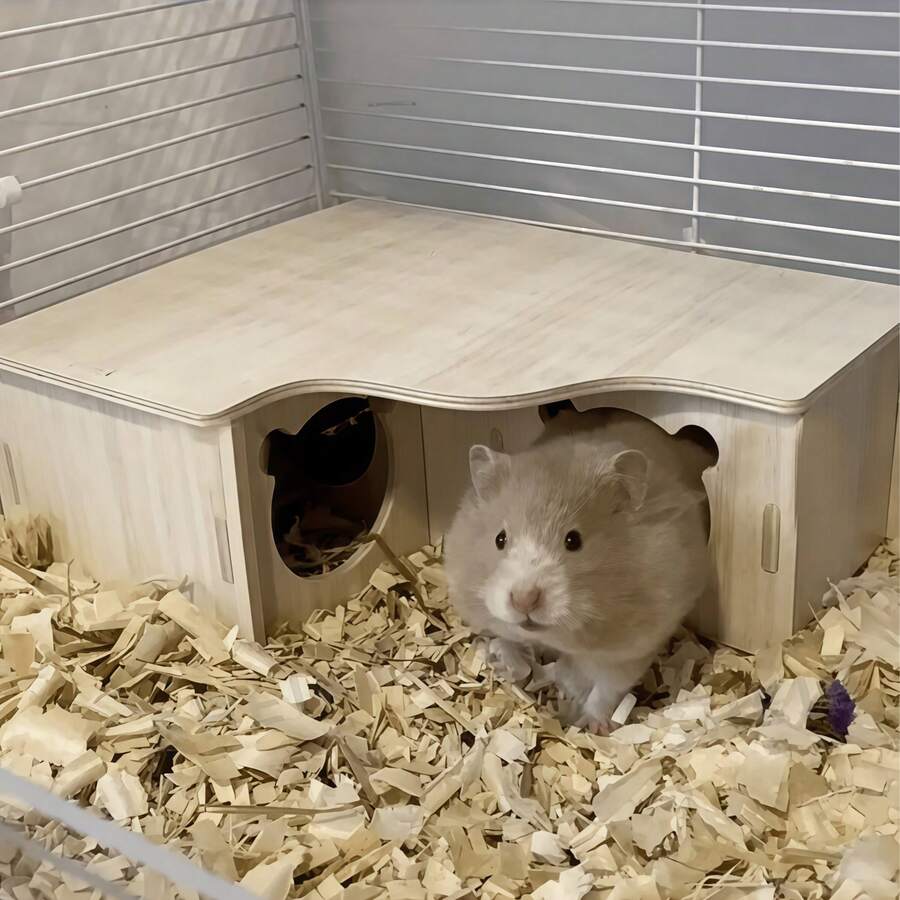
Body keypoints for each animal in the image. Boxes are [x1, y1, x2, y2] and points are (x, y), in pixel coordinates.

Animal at [444, 407, 714, 733]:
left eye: (574, 540)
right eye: (500, 539)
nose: (524, 601)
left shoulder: (629, 650)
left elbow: (607, 689)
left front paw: (592, 726)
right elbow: (507, 640)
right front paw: (506, 663)